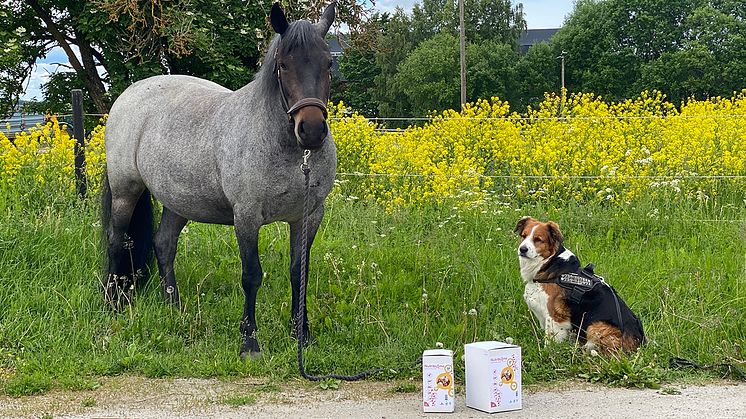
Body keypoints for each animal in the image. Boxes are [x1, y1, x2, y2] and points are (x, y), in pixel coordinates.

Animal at [99, 1, 338, 360]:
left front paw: (302, 335)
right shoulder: (247, 217)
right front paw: (249, 341)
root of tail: (130, 93)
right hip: (125, 190)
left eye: (329, 63)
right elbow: (251, 275)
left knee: (164, 244)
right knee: (117, 240)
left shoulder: (308, 216)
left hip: (178, 202)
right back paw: (112, 304)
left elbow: (300, 273)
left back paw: (174, 306)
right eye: (283, 65)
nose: (311, 130)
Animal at [516, 217, 644, 354]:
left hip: (595, 326)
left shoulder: (555, 316)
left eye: (538, 239)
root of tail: (640, 343)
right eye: (524, 236)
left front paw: (547, 353)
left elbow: (550, 340)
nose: (522, 249)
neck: (549, 263)